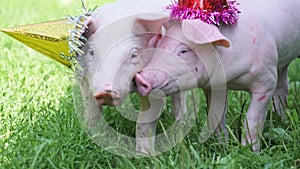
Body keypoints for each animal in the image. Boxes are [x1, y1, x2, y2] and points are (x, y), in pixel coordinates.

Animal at [135, 0, 300, 153]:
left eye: (184, 51)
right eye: (159, 44)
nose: (140, 78)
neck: (231, 77)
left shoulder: (266, 79)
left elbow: (252, 118)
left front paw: (249, 151)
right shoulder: (214, 86)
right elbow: (216, 116)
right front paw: (222, 147)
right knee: (283, 86)